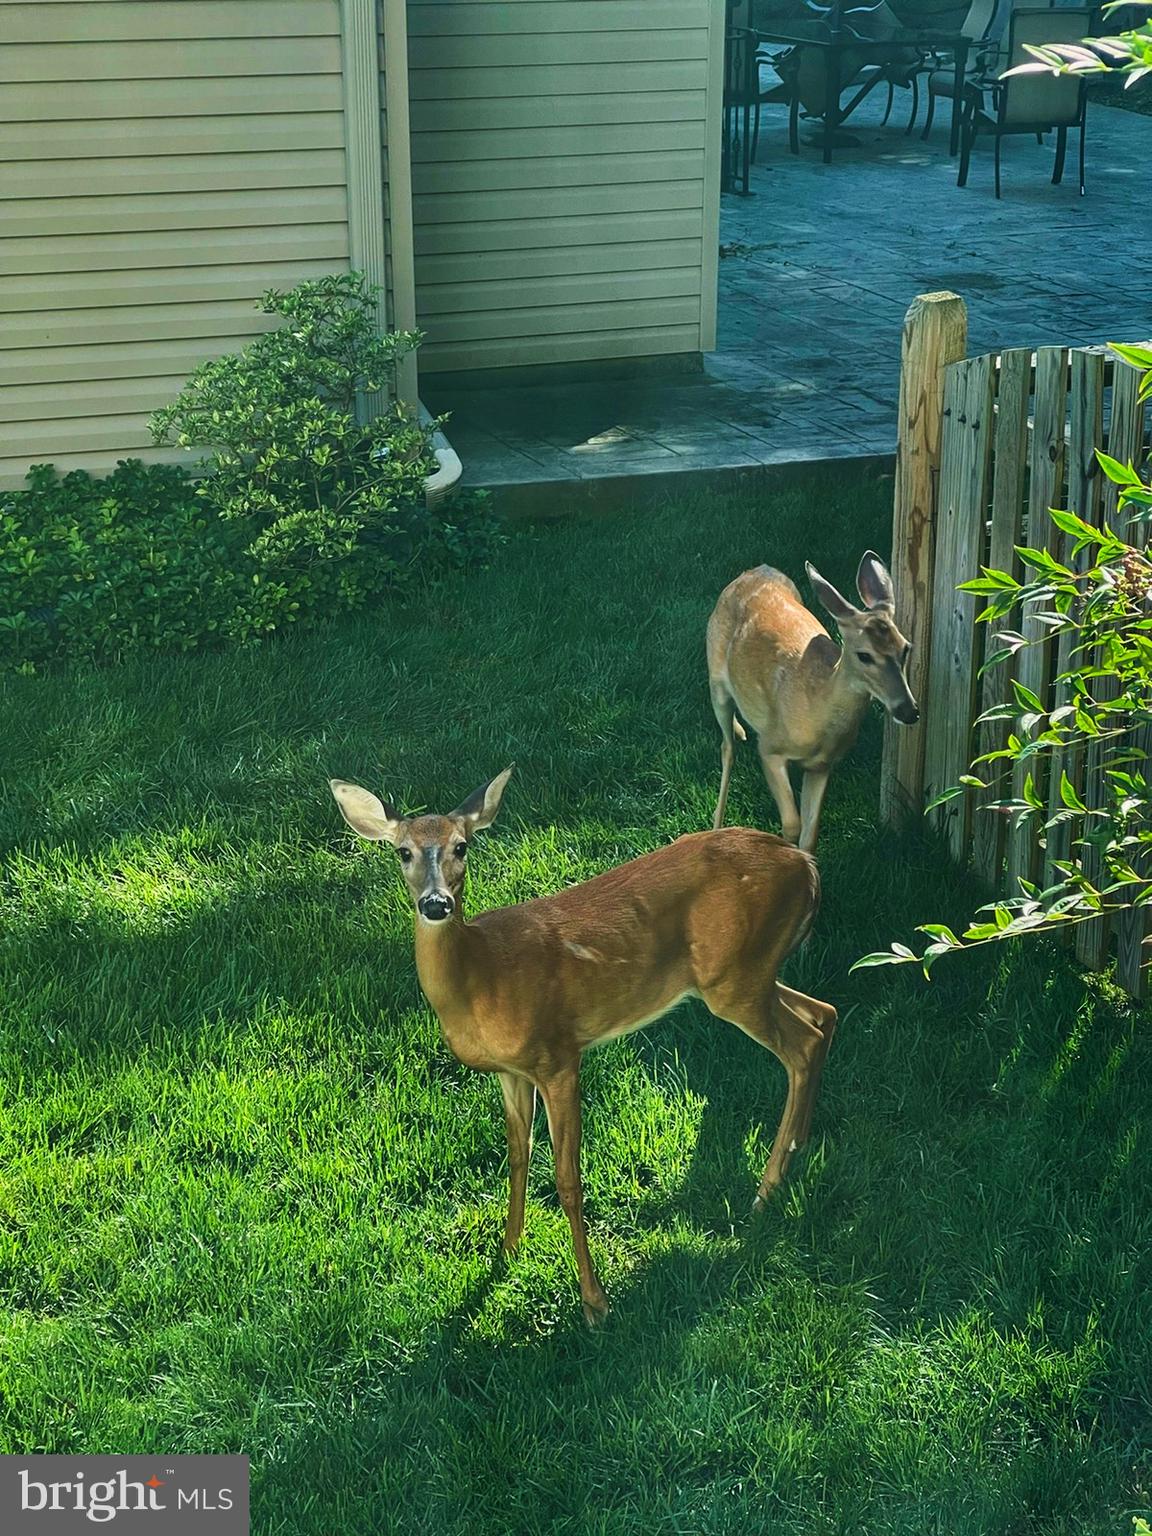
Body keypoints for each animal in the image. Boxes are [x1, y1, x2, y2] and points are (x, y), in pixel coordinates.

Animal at [329, 768, 836, 1326]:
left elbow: (568, 1181)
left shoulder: (559, 1056)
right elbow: (517, 1156)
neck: (484, 978)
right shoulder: (511, 1071)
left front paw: (594, 1302)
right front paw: (508, 1249)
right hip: (750, 973)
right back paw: (799, 1144)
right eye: (403, 852)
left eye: (462, 846)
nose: (436, 904)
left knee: (804, 1042)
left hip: (735, 977)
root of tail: (807, 866)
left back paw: (766, 1190)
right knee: (824, 1015)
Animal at [706, 551, 918, 853]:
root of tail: (755, 570)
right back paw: (715, 829)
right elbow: (792, 825)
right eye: (864, 655)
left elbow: (810, 834)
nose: (908, 710)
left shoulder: (822, 765)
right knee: (727, 748)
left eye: (906, 648)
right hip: (716, 680)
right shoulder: (769, 746)